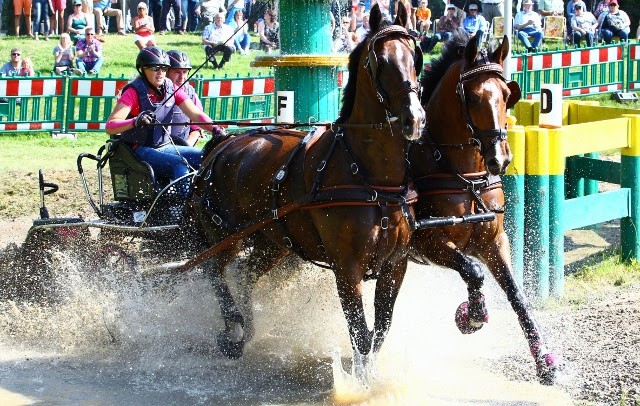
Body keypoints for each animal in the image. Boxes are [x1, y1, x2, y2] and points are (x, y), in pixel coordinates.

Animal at [184, 3, 424, 380]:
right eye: (380, 61)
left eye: (415, 57)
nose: (414, 119)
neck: (371, 180)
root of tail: (223, 145)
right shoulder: (347, 268)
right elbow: (360, 333)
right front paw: (360, 382)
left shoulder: (395, 266)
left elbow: (379, 331)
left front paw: (371, 377)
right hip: (225, 235)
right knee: (215, 273)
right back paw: (232, 330)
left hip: (271, 242)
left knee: (245, 275)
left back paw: (246, 330)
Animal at [412, 30, 556, 384]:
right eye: (474, 98)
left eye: (506, 95)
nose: (500, 159)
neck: (466, 178)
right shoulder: (425, 243)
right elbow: (472, 270)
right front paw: (472, 314)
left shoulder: (493, 242)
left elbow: (516, 294)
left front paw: (544, 360)